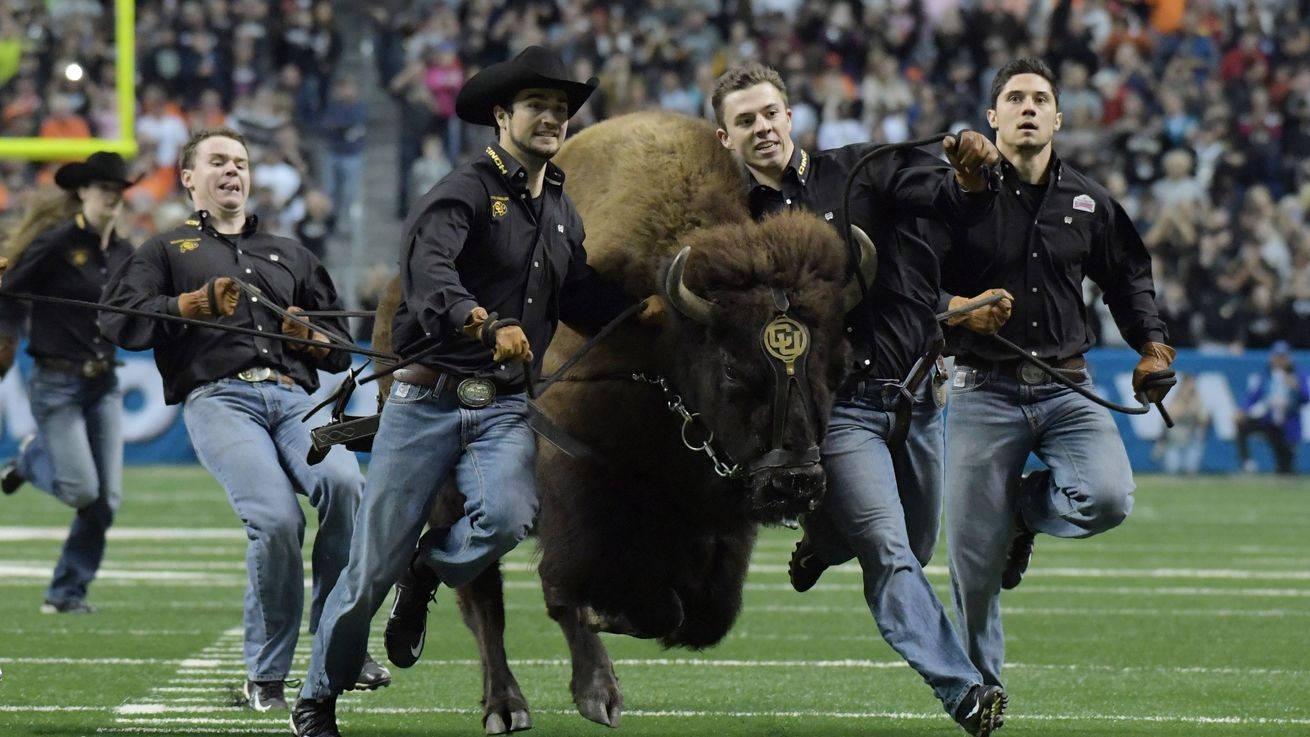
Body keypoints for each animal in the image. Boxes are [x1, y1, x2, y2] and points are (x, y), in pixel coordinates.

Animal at [374, 109, 875, 733]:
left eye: (840, 365)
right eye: (733, 368)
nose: (796, 482)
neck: (661, 350)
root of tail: (391, 292)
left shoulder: (719, 530)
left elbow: (702, 615)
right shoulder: (579, 500)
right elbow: (598, 592)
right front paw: (601, 625)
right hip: (446, 482)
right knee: (480, 590)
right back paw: (511, 704)